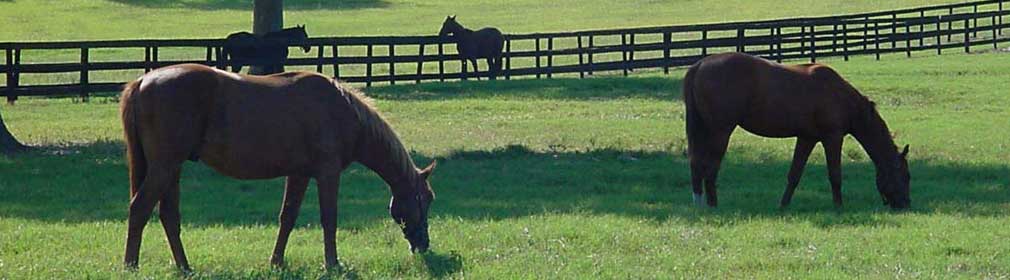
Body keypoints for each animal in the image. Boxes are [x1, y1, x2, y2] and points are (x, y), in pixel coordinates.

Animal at [120, 63, 436, 270]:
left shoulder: (299, 174)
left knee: (168, 216)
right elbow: (329, 218)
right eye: (426, 199)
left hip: (172, 169)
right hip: (164, 168)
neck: (342, 111)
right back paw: (131, 265)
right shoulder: (327, 173)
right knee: (139, 209)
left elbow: (288, 217)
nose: (423, 245)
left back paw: (185, 267)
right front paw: (332, 264)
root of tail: (142, 82)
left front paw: (277, 262)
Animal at [682, 52, 913, 209]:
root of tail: (700, 65)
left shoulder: (807, 138)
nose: (905, 205)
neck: (840, 96)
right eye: (905, 176)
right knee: (710, 168)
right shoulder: (832, 138)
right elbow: (835, 174)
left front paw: (783, 205)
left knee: (697, 164)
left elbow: (794, 174)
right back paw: (713, 205)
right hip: (720, 132)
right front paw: (839, 206)